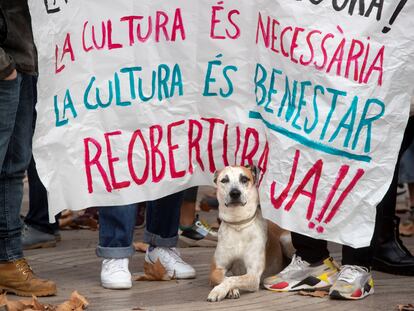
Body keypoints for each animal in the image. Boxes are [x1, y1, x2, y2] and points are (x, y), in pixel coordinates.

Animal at [207, 167, 294, 304]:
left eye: (244, 179)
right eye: (224, 180)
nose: (235, 193)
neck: (238, 224)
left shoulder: (253, 275)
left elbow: (233, 278)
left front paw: (219, 290)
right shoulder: (216, 269)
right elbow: (225, 277)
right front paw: (231, 290)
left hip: (285, 239)